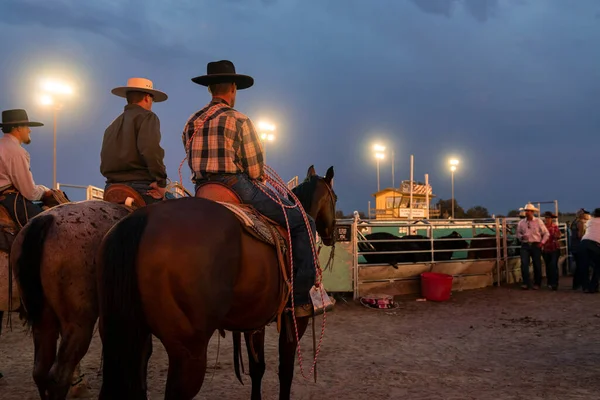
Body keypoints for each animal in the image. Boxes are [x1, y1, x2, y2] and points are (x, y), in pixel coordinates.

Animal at [96, 164, 336, 398]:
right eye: (334, 197)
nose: (331, 236)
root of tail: (143, 218)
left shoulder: (255, 321)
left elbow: (257, 369)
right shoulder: (294, 321)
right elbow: (285, 372)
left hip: (123, 335)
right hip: (188, 352)